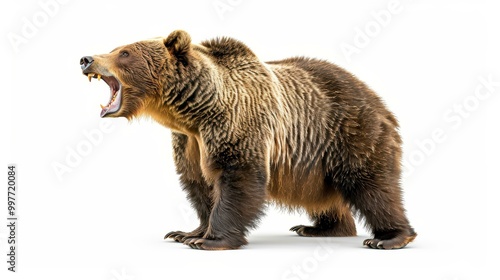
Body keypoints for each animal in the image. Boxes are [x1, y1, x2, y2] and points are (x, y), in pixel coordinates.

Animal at [80, 30, 418, 249]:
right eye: (117, 47)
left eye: (124, 52)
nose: (86, 58)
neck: (195, 111)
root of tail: (378, 100)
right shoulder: (190, 143)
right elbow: (199, 184)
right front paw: (186, 232)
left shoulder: (236, 124)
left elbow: (237, 178)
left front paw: (210, 239)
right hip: (316, 162)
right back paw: (319, 228)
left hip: (349, 133)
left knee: (373, 186)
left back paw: (390, 237)